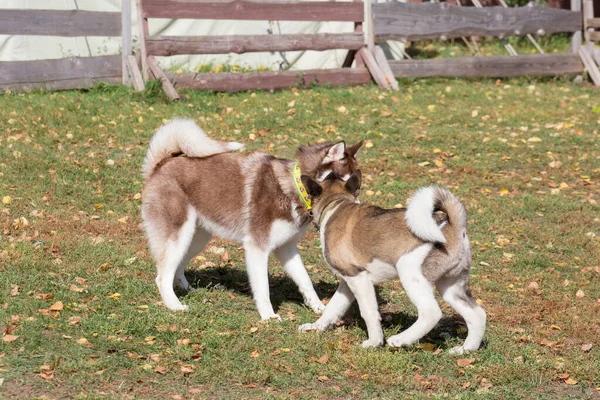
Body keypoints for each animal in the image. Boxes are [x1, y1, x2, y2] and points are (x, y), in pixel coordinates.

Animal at [142, 118, 364, 318]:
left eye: (357, 186)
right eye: (344, 181)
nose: (356, 208)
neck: (295, 188)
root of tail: (160, 166)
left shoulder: (287, 248)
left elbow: (305, 280)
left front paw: (320, 308)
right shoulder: (257, 248)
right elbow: (263, 288)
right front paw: (268, 316)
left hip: (196, 238)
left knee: (178, 267)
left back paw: (188, 290)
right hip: (178, 236)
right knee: (162, 276)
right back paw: (174, 305)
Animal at [298, 172, 486, 354]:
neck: (335, 204)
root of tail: (454, 227)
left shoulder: (358, 278)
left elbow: (368, 312)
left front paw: (374, 342)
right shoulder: (348, 280)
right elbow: (333, 307)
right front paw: (316, 327)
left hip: (410, 274)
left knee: (431, 313)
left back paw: (400, 340)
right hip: (451, 287)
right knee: (477, 315)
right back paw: (465, 350)